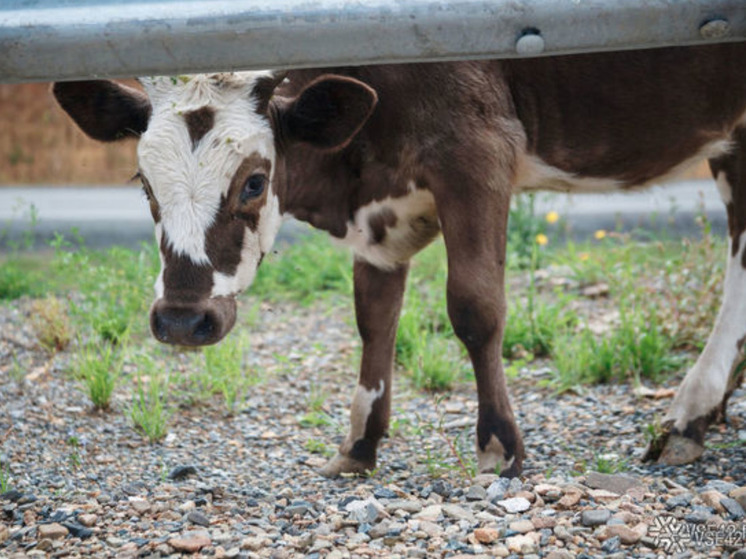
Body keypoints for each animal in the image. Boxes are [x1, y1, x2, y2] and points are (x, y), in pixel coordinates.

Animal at [56, 43, 744, 480]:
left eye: (254, 182)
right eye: (144, 182)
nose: (180, 320)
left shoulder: (478, 151)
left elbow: (475, 308)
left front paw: (499, 446)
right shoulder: (380, 219)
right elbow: (375, 318)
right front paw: (360, 444)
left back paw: (688, 411)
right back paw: (704, 411)